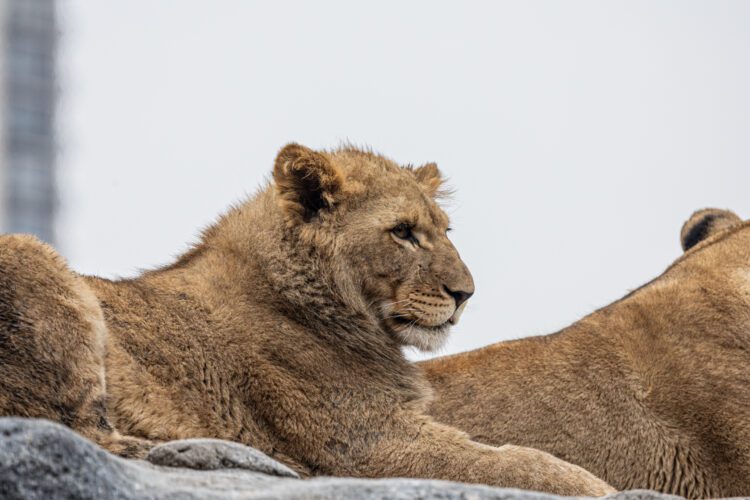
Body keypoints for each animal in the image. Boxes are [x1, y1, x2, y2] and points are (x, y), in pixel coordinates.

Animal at [0, 145, 616, 496]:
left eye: (445, 230)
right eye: (403, 232)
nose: (465, 294)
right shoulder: (370, 444)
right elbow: (527, 464)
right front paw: (598, 487)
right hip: (29, 253)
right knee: (77, 428)